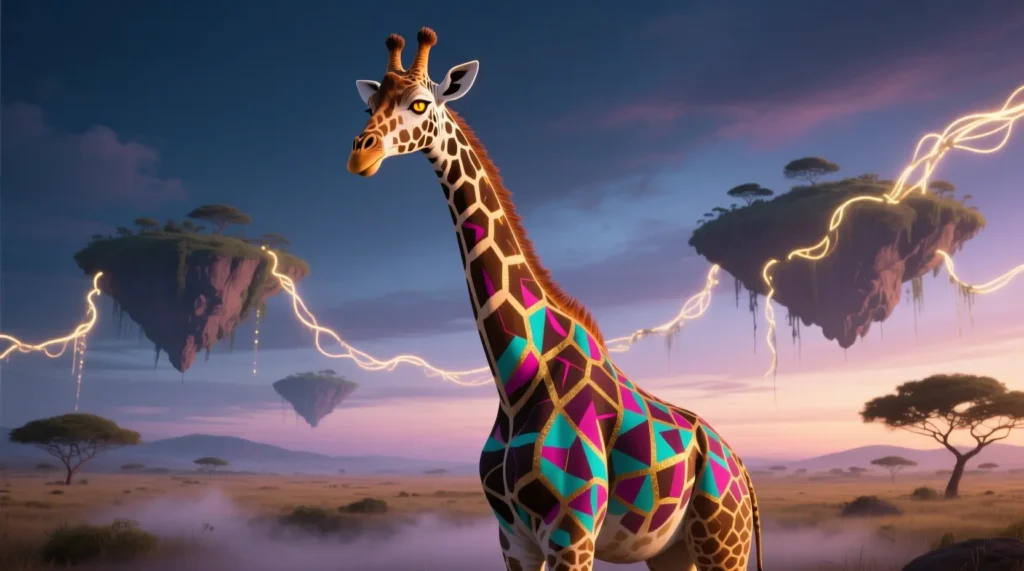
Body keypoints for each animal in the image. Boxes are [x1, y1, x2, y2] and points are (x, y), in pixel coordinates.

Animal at [346, 28, 765, 571]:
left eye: (420, 103)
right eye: (369, 103)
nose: (361, 155)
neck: (516, 380)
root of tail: (743, 471)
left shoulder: (573, 532)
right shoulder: (512, 539)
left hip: (722, 540)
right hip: (672, 550)